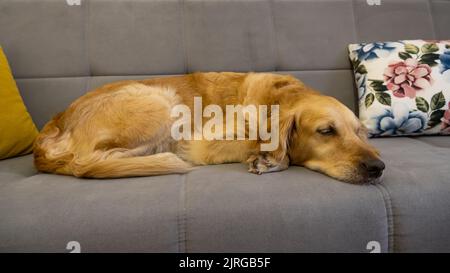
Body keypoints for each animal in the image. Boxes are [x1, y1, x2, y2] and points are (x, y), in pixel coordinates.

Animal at [34, 71, 384, 183]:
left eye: (360, 133)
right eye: (326, 131)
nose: (377, 168)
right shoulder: (200, 143)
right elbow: (263, 146)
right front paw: (269, 159)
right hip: (163, 101)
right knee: (88, 163)